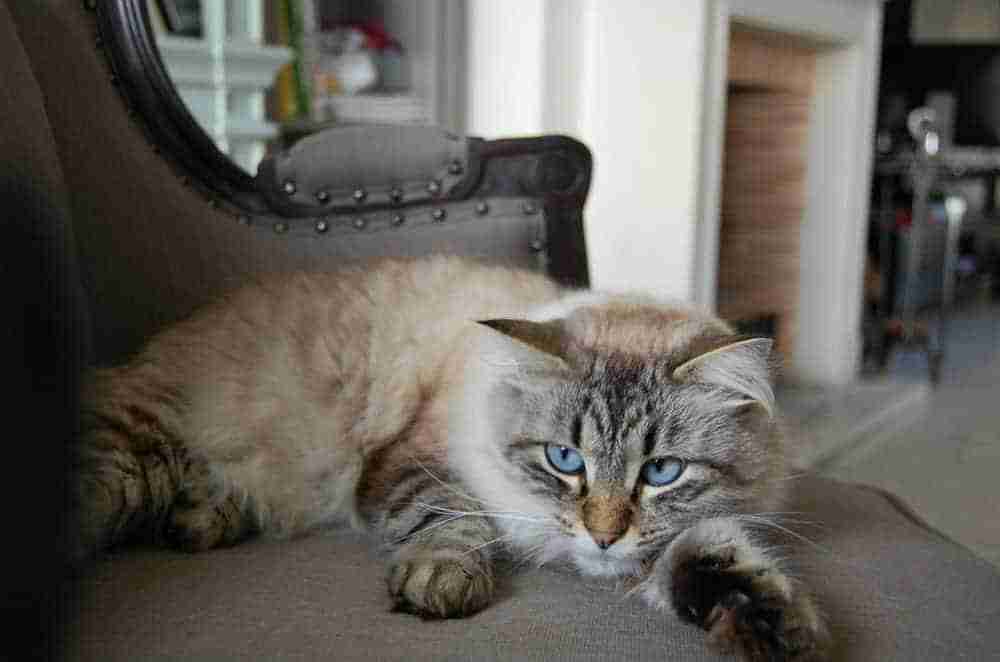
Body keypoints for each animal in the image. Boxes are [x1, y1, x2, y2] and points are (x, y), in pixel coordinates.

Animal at [70, 256, 828, 660]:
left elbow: (711, 556)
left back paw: (202, 519)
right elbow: (450, 519)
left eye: (661, 472)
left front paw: (769, 622)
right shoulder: (415, 463)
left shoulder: (671, 541)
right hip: (135, 455)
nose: (604, 536)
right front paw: (443, 582)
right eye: (565, 460)